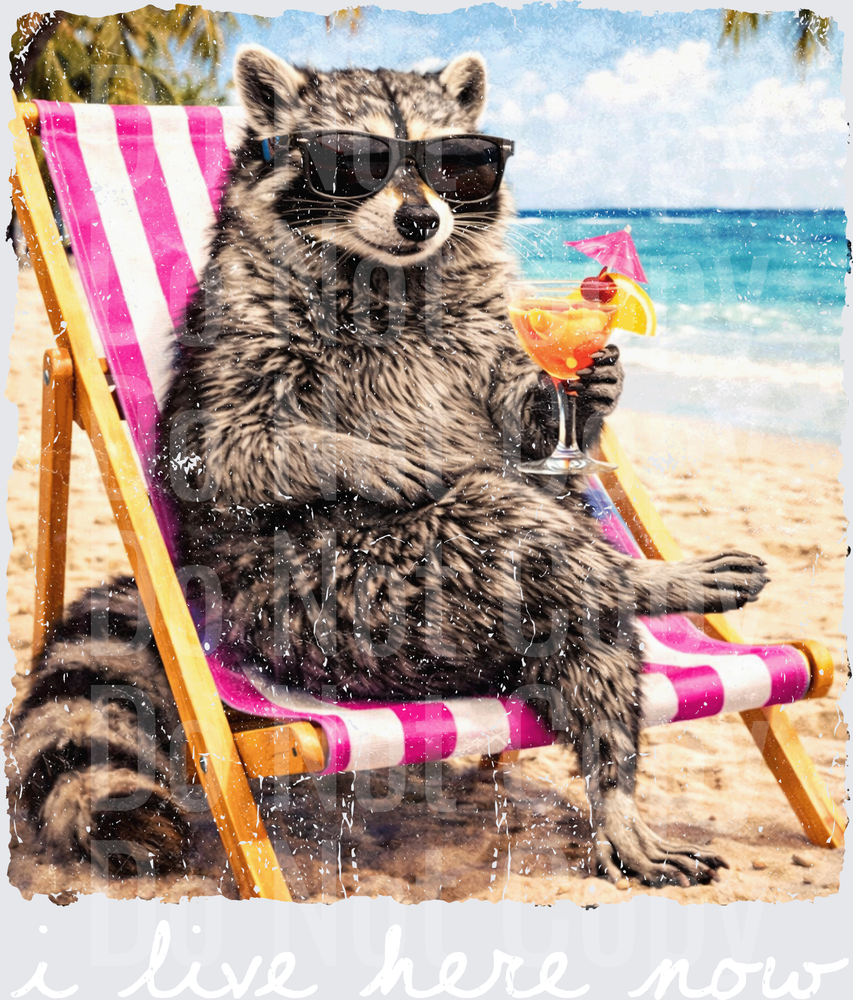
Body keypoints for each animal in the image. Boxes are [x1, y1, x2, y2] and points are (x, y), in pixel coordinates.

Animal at [9, 46, 769, 888]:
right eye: (354, 162)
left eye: (454, 162)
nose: (421, 220)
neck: (384, 270)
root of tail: (208, 606)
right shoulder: (237, 331)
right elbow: (216, 449)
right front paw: (358, 456)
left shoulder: (486, 329)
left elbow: (523, 429)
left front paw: (577, 390)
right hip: (353, 598)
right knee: (511, 526)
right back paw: (638, 588)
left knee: (586, 628)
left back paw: (617, 768)